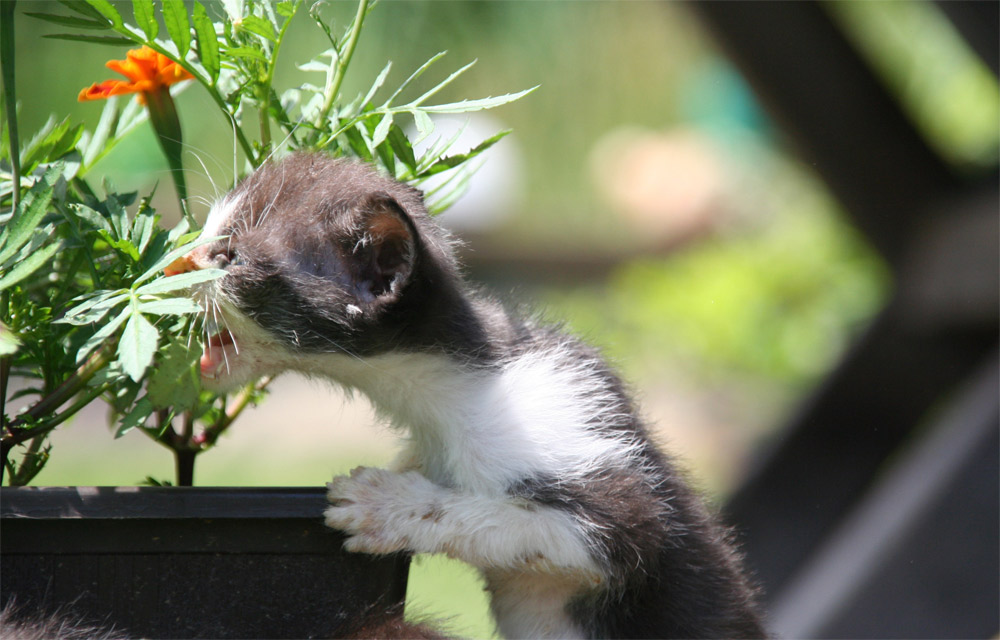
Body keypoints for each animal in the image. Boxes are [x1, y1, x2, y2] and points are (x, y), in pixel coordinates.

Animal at [172, 152, 764, 636]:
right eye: (206, 232)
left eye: (230, 256)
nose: (170, 262)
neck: (453, 395)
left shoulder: (601, 473)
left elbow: (531, 522)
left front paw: (391, 505)